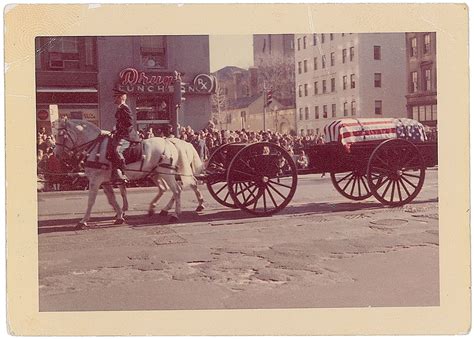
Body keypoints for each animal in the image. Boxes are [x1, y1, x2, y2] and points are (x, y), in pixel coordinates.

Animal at [54, 119, 201, 231]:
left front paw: (83, 221)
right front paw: (120, 215)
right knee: (169, 188)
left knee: (177, 190)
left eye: (60, 135)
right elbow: (112, 198)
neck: (96, 147)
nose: (56, 155)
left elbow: (91, 201)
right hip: (157, 173)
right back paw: (159, 209)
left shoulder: (95, 180)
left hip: (167, 173)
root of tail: (170, 142)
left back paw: (175, 215)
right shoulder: (105, 181)